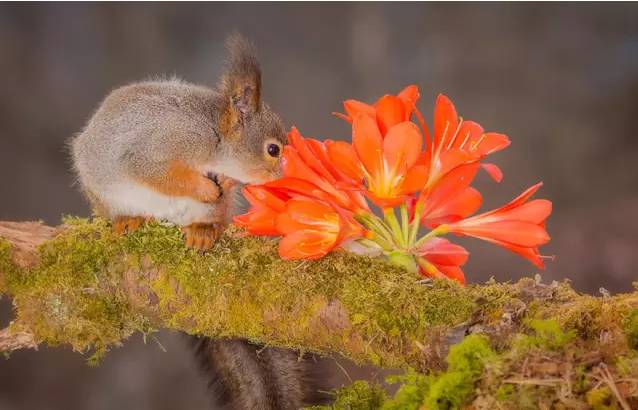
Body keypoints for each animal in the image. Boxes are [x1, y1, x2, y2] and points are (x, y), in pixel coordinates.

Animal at [71, 36, 330, 410]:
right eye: (273, 150)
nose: (289, 177)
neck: (215, 140)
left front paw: (223, 183)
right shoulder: (158, 149)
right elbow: (161, 175)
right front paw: (205, 186)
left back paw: (203, 230)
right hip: (102, 191)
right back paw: (129, 219)